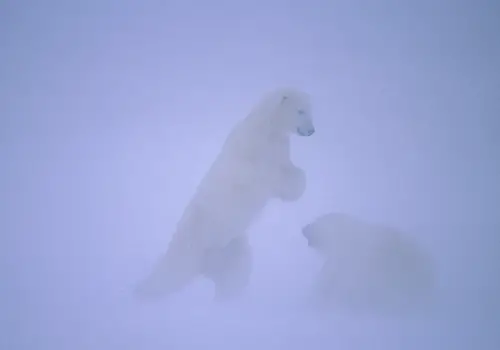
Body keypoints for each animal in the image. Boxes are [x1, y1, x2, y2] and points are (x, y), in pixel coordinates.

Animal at [136, 87, 316, 300]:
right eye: (300, 110)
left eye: (310, 109)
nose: (311, 130)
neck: (265, 129)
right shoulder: (253, 156)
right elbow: (266, 177)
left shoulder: (279, 150)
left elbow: (290, 173)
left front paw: (297, 184)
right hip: (196, 240)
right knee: (174, 272)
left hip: (231, 247)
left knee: (235, 274)